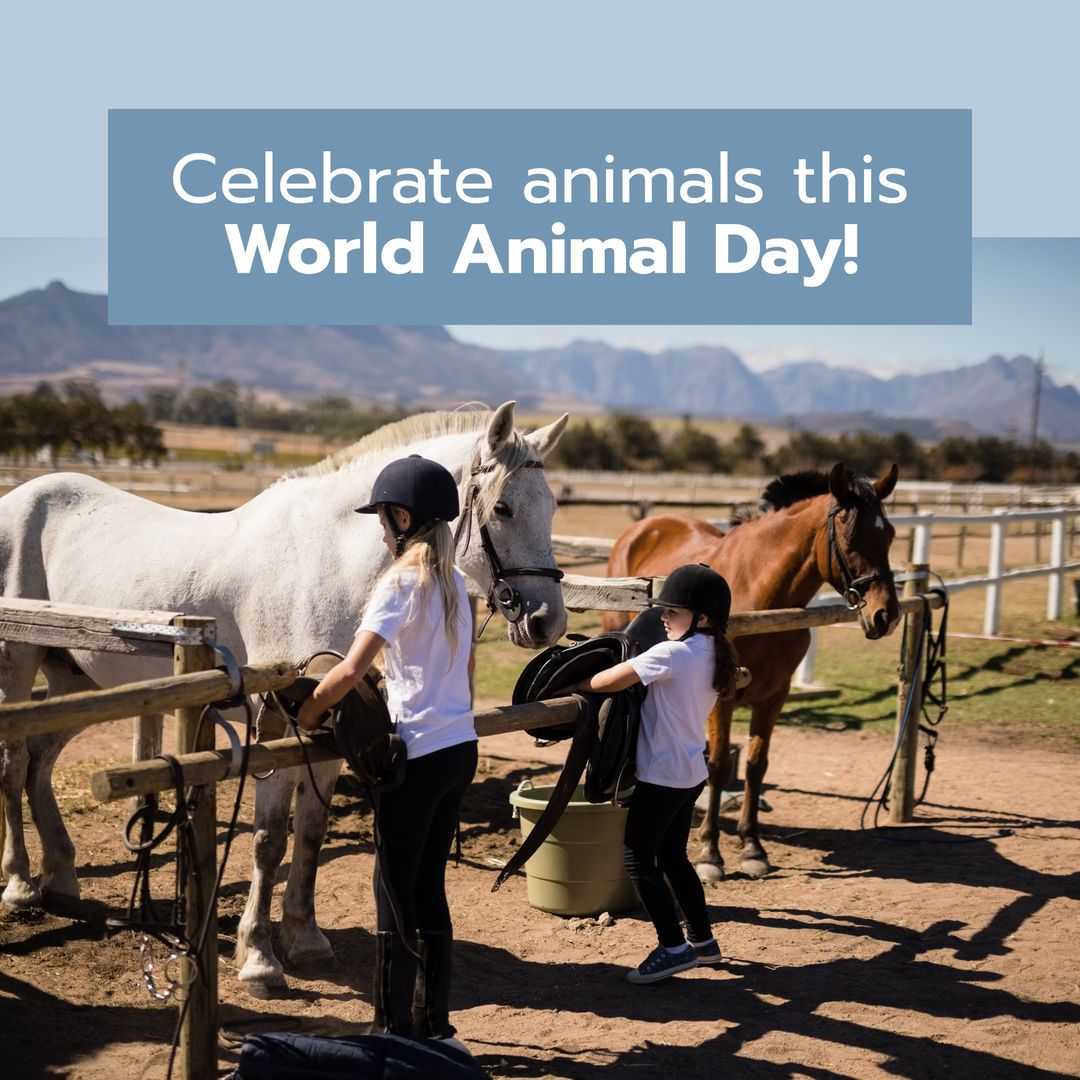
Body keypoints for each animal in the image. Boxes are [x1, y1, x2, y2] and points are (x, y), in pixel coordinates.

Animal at [0, 403, 570, 993]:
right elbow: (269, 839)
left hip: (80, 683)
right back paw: (19, 885)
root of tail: (19, 498)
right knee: (15, 762)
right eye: (502, 508)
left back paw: (61, 876)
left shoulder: (335, 728)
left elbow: (311, 833)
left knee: (40, 758)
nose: (547, 620)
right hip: (20, 661)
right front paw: (258, 957)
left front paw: (306, 939)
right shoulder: (274, 727)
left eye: (551, 506)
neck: (326, 564)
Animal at [604, 462, 898, 876]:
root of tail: (647, 527)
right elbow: (716, 765)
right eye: (850, 537)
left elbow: (757, 765)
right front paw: (710, 853)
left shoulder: (774, 698)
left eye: (889, 534)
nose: (886, 615)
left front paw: (752, 847)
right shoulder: (721, 699)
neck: (764, 601)